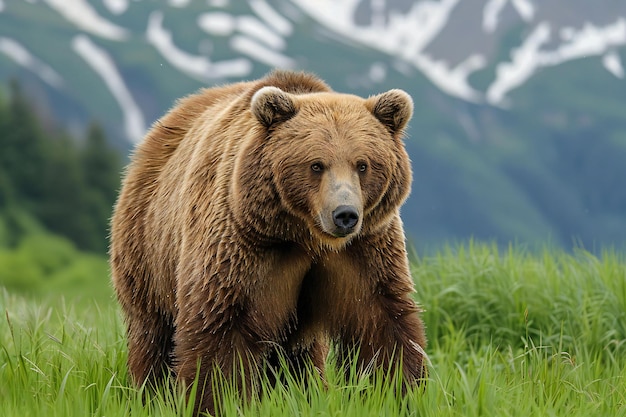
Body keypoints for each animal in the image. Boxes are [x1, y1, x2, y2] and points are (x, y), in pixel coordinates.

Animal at [109, 70, 426, 412]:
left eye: (363, 164)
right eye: (316, 164)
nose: (345, 215)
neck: (304, 235)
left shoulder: (363, 249)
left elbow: (382, 321)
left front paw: (402, 392)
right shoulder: (243, 244)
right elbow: (220, 328)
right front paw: (219, 400)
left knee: (298, 357)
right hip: (147, 249)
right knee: (153, 335)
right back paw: (149, 395)